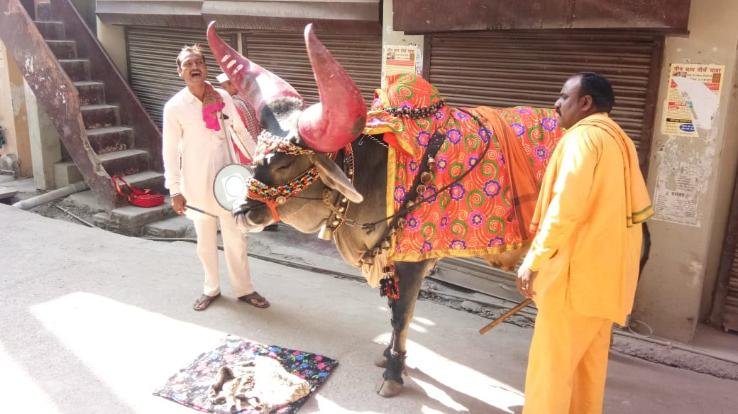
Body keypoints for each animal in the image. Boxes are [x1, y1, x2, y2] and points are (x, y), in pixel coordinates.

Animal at [206, 22, 565, 397]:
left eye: (283, 163)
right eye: (257, 152)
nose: (242, 211)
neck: (374, 169)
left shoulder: (413, 260)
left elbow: (401, 315)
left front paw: (394, 372)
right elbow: (393, 311)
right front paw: (389, 357)